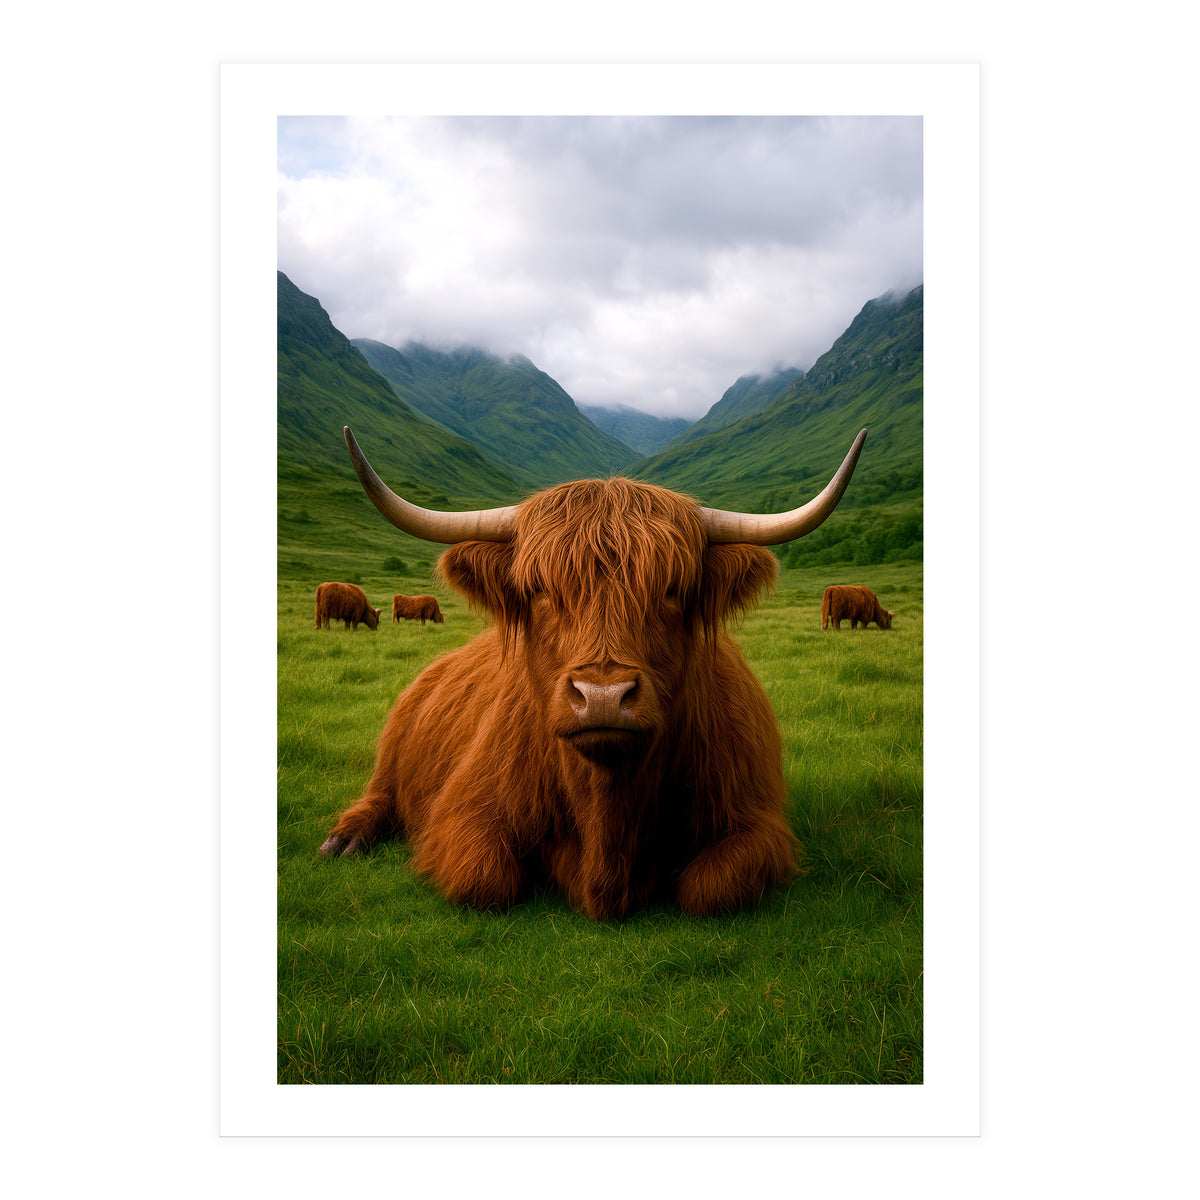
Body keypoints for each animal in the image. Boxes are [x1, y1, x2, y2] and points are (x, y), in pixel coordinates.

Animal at [320, 425, 867, 919]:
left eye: (673, 589)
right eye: (539, 588)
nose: (603, 696)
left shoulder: (756, 822)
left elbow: (709, 889)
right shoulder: (463, 811)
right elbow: (485, 879)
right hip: (393, 751)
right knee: (380, 794)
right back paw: (344, 840)